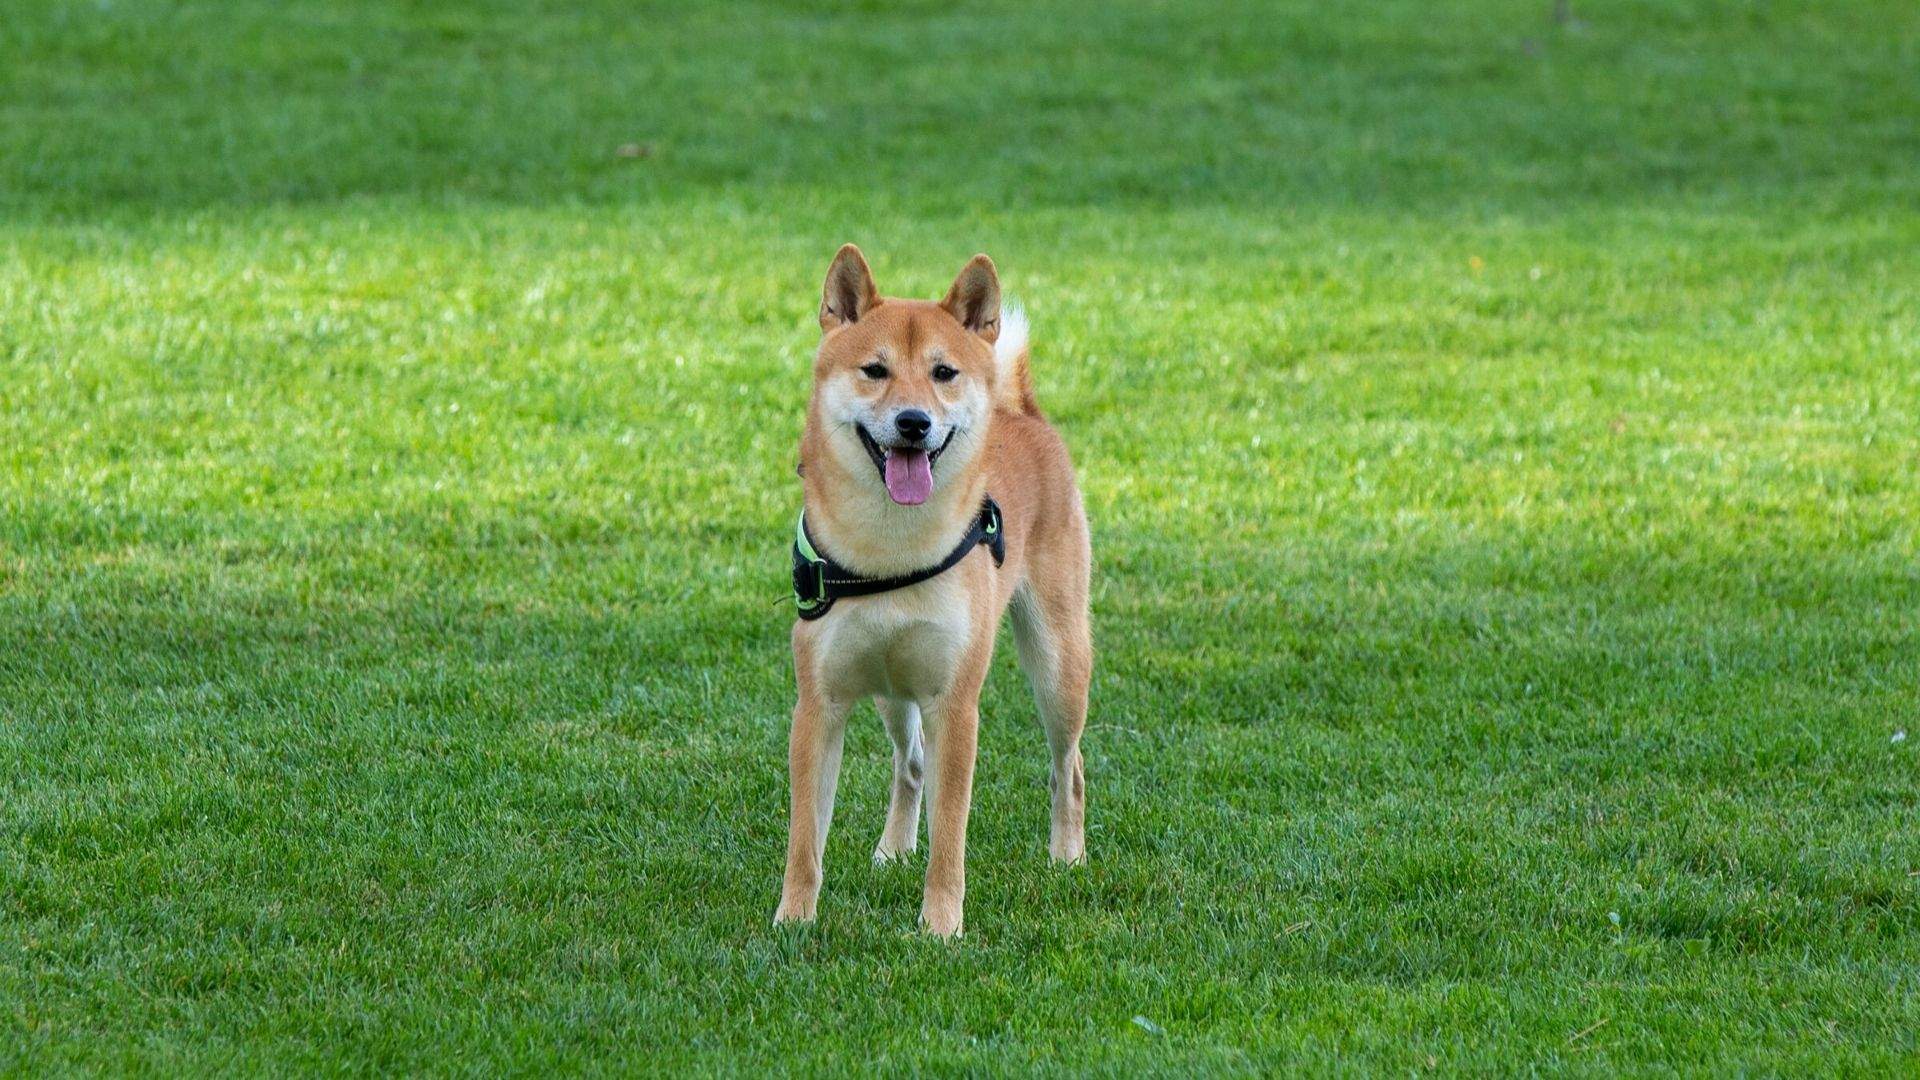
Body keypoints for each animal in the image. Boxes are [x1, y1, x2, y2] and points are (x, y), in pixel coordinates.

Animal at [771, 244, 1090, 933]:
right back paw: (893, 849)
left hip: (1059, 668)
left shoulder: (955, 706)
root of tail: (1021, 410)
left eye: (943, 373)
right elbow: (805, 836)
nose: (914, 422)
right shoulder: (819, 705)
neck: (890, 551)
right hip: (892, 691)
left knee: (1068, 767)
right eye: (875, 370)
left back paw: (1067, 857)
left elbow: (950, 836)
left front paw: (941, 927)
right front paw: (793, 921)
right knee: (910, 765)